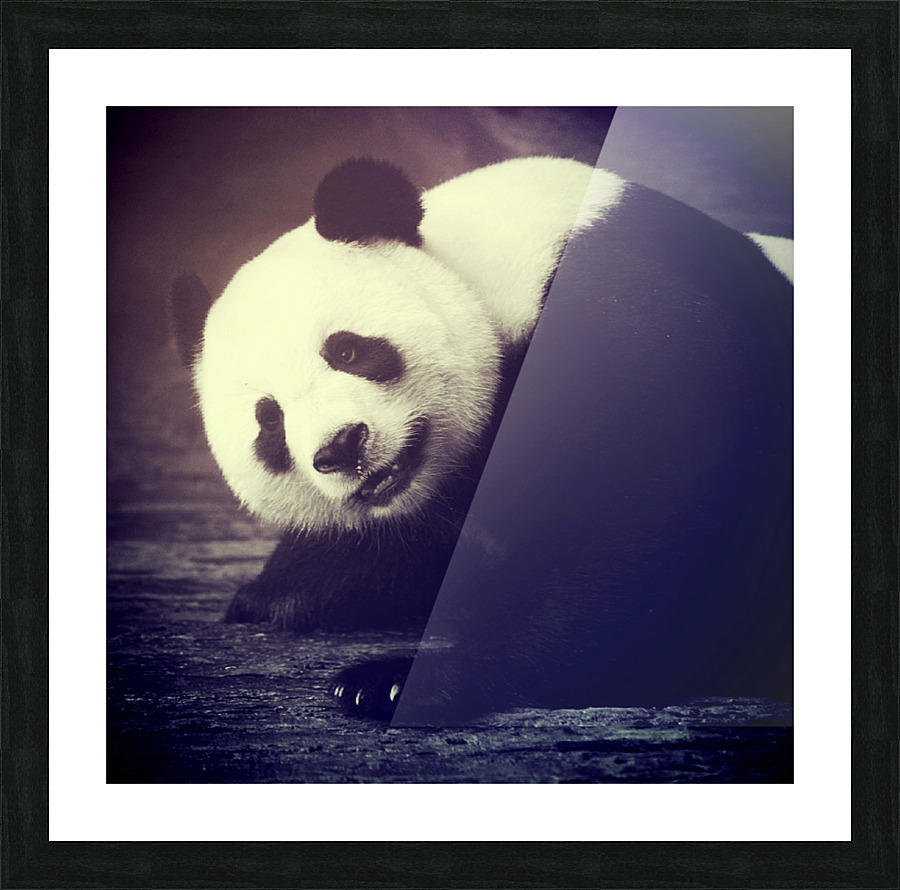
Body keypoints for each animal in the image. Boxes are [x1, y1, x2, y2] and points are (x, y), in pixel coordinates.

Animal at [170, 156, 793, 724]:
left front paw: (394, 681)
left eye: (347, 350)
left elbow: (642, 520)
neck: (483, 282)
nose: (342, 446)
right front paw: (277, 590)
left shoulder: (621, 322)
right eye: (269, 420)